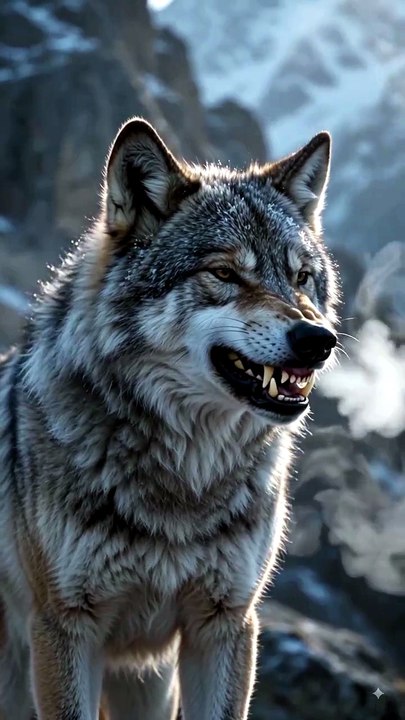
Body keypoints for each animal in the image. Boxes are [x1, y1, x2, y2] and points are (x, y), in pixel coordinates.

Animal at [0, 118, 338, 720]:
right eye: (224, 273)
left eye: (301, 277)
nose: (318, 340)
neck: (184, 482)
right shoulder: (65, 626)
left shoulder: (224, 623)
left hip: (148, 686)